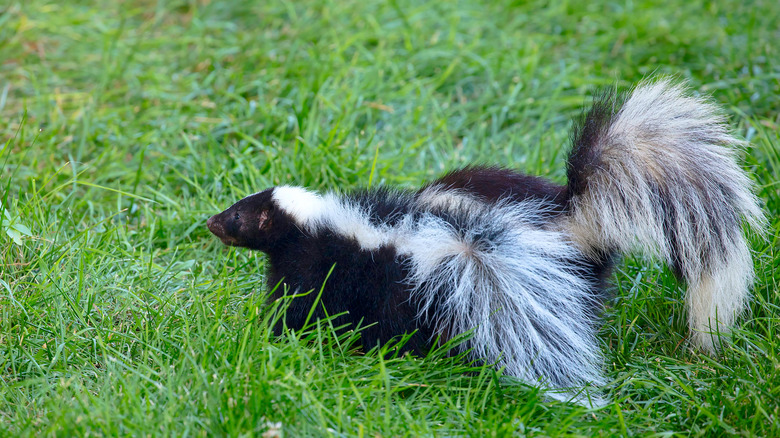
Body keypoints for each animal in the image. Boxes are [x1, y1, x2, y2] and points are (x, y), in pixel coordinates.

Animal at [206, 78, 760, 404]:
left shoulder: (329, 267)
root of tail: (577, 211)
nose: (209, 222)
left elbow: (301, 306)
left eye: (238, 216)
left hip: (455, 290)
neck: (318, 223)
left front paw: (273, 336)